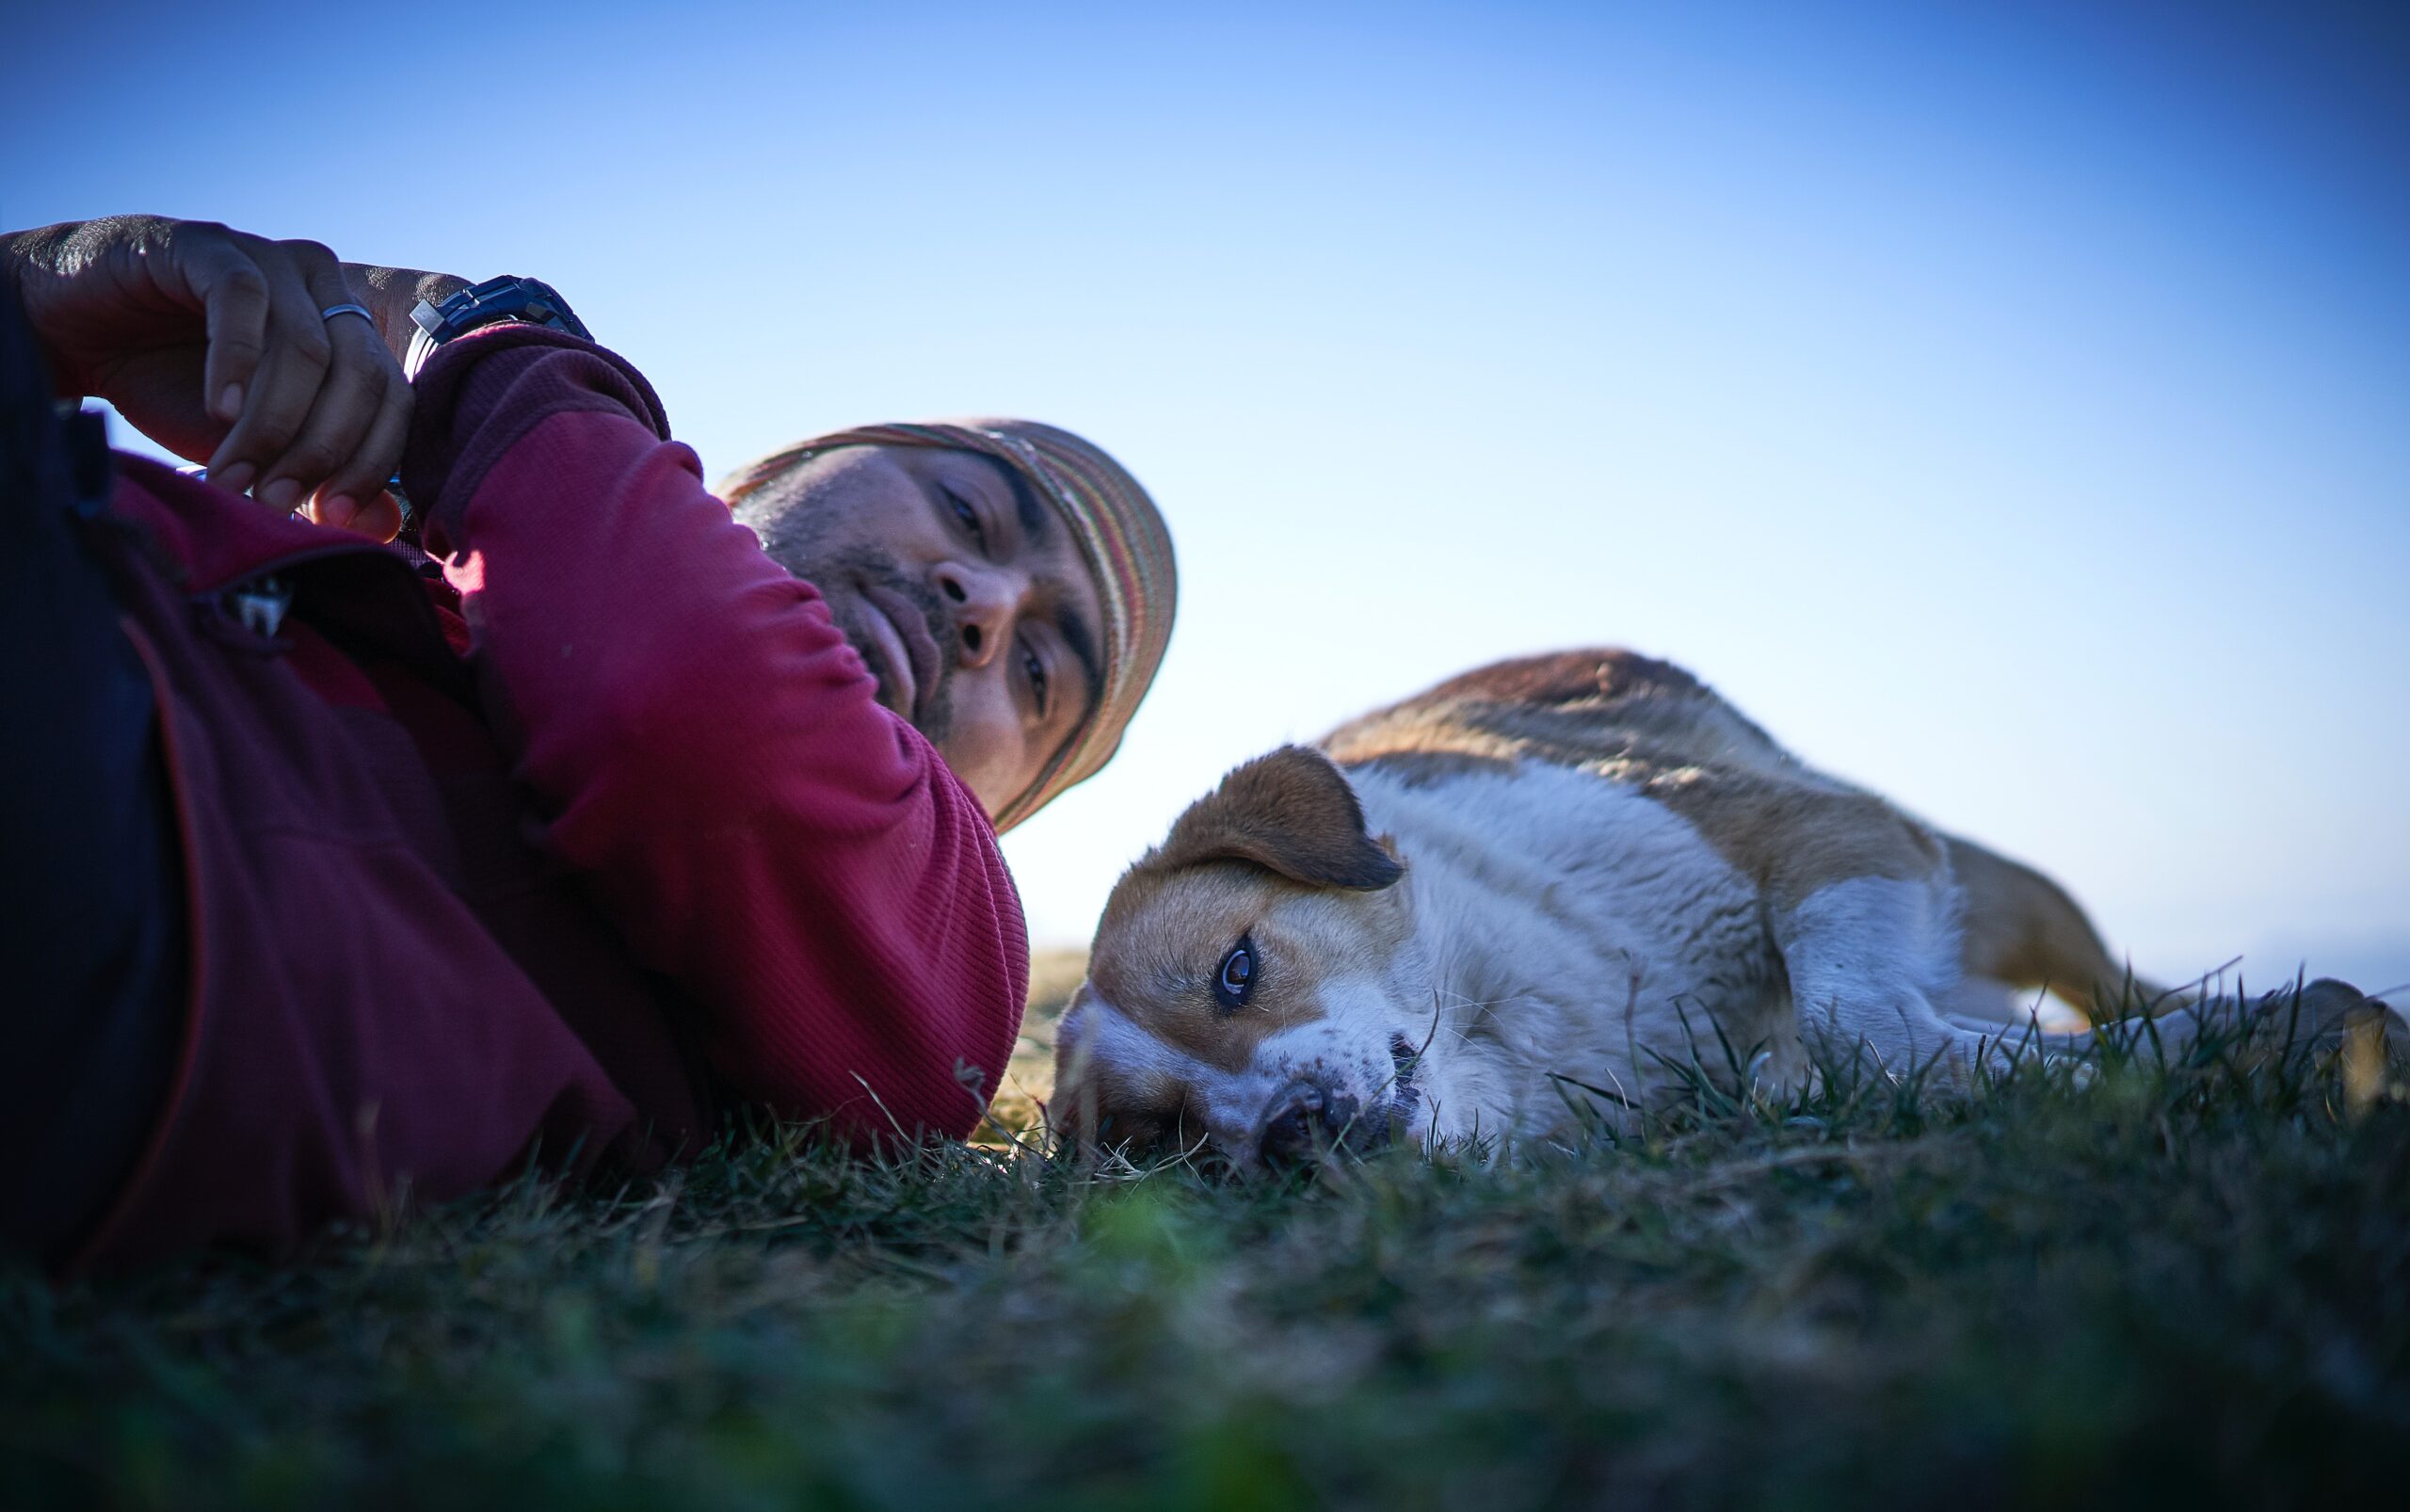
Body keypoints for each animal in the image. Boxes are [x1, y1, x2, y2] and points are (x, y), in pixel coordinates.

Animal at [1055, 646, 2390, 1157]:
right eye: (1163, 1135)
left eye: (1236, 968)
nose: (1288, 1138)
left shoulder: (1830, 839)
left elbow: (1856, 1015)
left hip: (2007, 889)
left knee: (2098, 978)